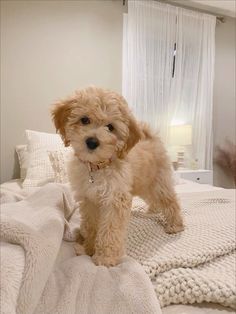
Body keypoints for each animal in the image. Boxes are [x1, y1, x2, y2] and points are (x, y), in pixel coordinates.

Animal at [52, 86, 184, 268]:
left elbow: (110, 229)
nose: (92, 142)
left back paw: (175, 225)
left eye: (110, 127)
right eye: (84, 119)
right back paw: (152, 210)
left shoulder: (115, 199)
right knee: (152, 198)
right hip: (143, 184)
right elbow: (92, 225)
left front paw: (105, 258)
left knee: (170, 200)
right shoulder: (89, 200)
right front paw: (88, 248)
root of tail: (152, 138)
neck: (97, 166)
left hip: (158, 182)